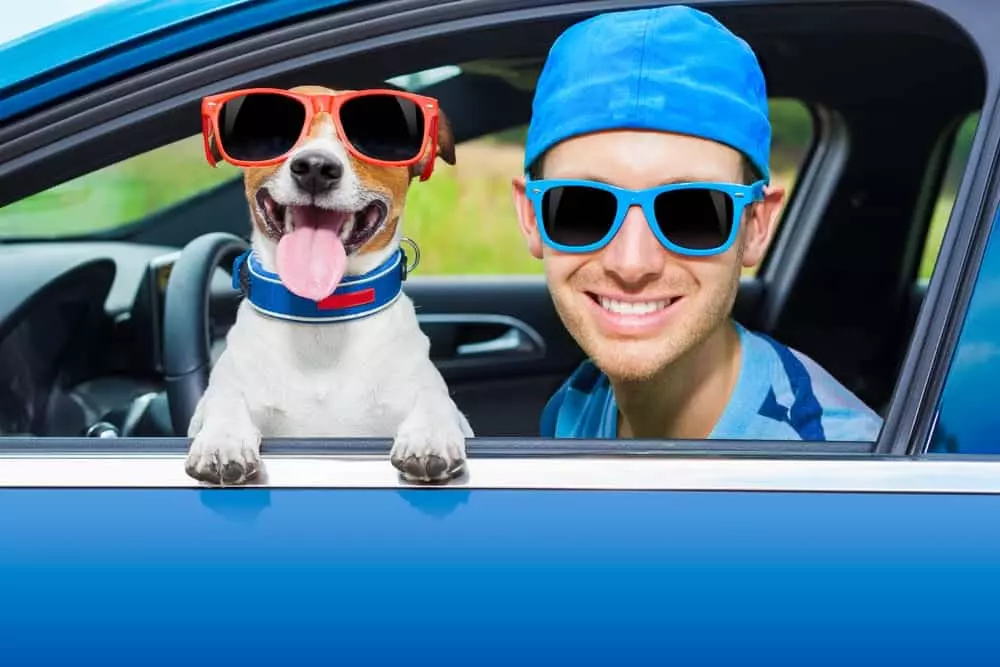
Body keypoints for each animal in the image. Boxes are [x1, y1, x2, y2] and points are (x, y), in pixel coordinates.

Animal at [184, 85, 472, 486]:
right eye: (275, 126)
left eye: (375, 134)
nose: (316, 168)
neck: (321, 317)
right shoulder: (224, 393)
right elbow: (224, 399)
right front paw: (222, 440)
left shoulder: (428, 393)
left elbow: (434, 398)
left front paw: (430, 436)